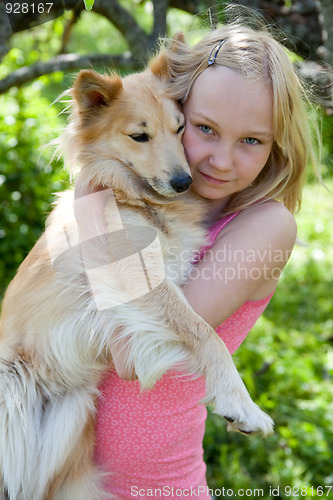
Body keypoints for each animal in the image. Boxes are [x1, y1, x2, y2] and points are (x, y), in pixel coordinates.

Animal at [0, 48, 272, 498]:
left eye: (181, 128)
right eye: (139, 136)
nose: (184, 182)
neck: (135, 197)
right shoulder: (134, 280)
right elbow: (205, 333)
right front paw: (241, 403)